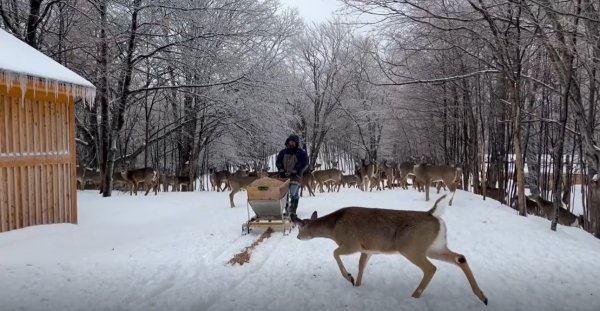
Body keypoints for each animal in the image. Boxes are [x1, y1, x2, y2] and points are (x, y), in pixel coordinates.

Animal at [290, 196, 488, 306]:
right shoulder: (368, 249)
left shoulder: (352, 243)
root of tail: (433, 214)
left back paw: (414, 296)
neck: (334, 227)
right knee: (460, 258)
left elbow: (334, 253)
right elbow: (361, 266)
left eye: (300, 228)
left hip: (411, 247)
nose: (297, 237)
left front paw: (349, 277)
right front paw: (358, 285)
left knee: (431, 268)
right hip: (435, 246)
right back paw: (482, 296)